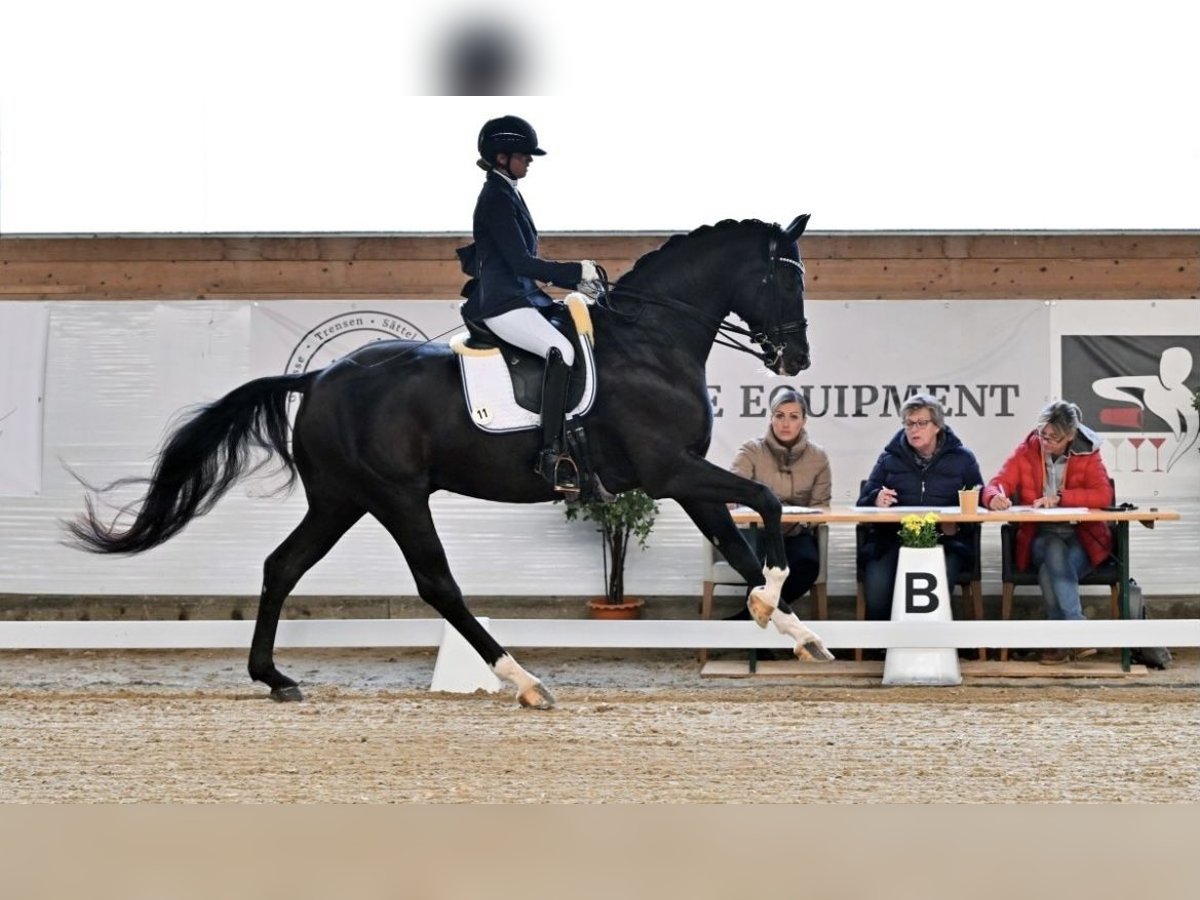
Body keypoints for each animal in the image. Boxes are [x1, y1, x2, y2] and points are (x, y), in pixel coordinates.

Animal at [70, 214, 830, 710]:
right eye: (782, 279)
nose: (795, 358)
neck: (651, 342)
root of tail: (317, 380)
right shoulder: (668, 472)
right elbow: (766, 504)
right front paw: (776, 605)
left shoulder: (684, 478)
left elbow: (739, 541)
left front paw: (796, 630)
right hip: (396, 496)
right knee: (437, 584)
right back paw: (523, 681)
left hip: (341, 498)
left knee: (282, 566)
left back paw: (276, 679)